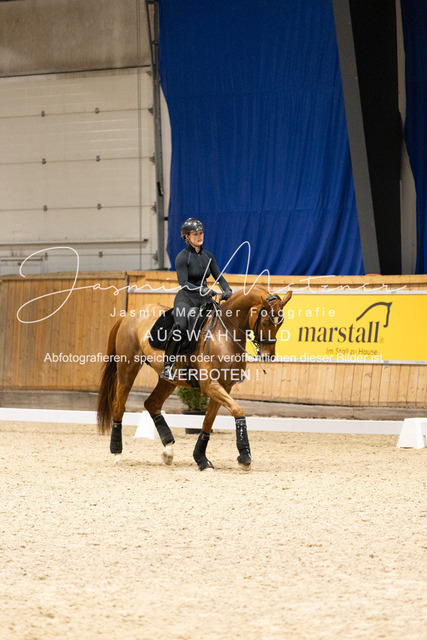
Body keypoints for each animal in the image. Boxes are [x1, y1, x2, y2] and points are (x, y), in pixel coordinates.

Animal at [97, 285, 292, 471]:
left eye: (281, 322)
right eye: (266, 320)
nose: (268, 356)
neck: (224, 332)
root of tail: (130, 314)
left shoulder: (224, 386)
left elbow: (208, 421)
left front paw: (201, 459)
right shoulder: (210, 385)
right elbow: (238, 410)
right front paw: (245, 457)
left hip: (169, 380)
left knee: (152, 404)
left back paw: (168, 451)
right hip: (128, 368)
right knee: (119, 406)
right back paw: (117, 454)